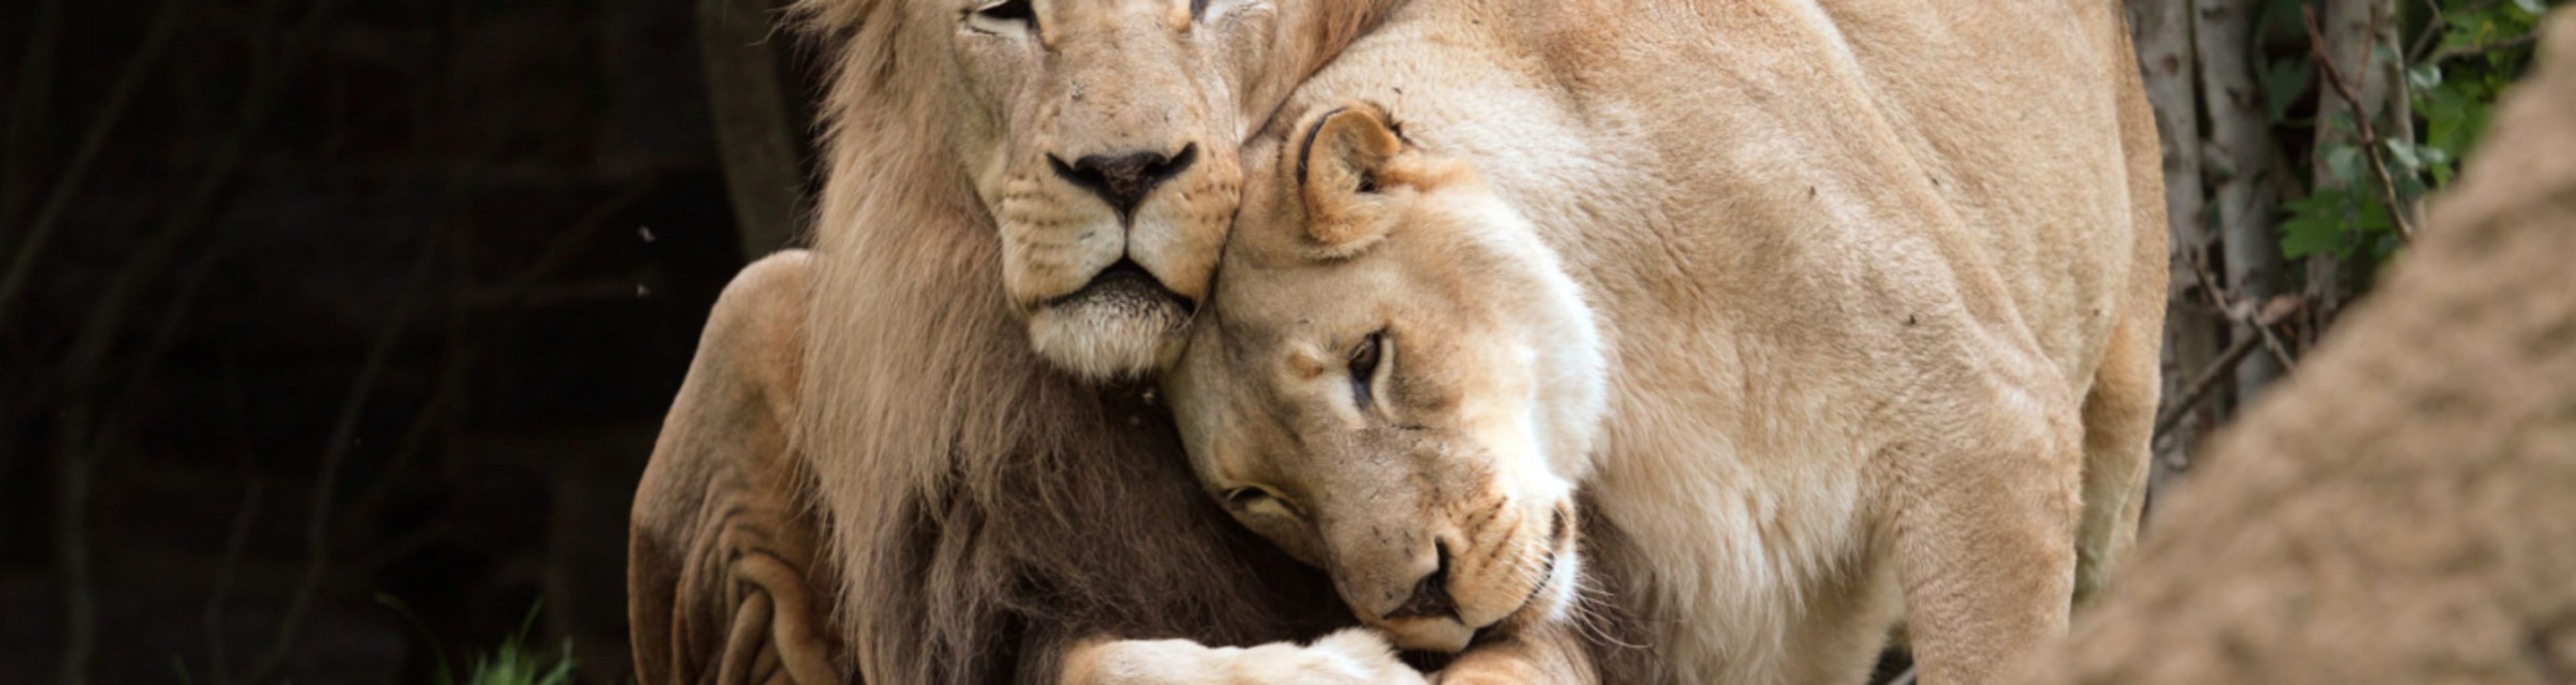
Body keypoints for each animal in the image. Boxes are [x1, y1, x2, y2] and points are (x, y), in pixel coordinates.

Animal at [623, 1, 1432, 685]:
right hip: (751, 297)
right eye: (1003, 11)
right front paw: (1332, 666)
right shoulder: (991, 606)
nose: (1124, 172)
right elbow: (1105, 663)